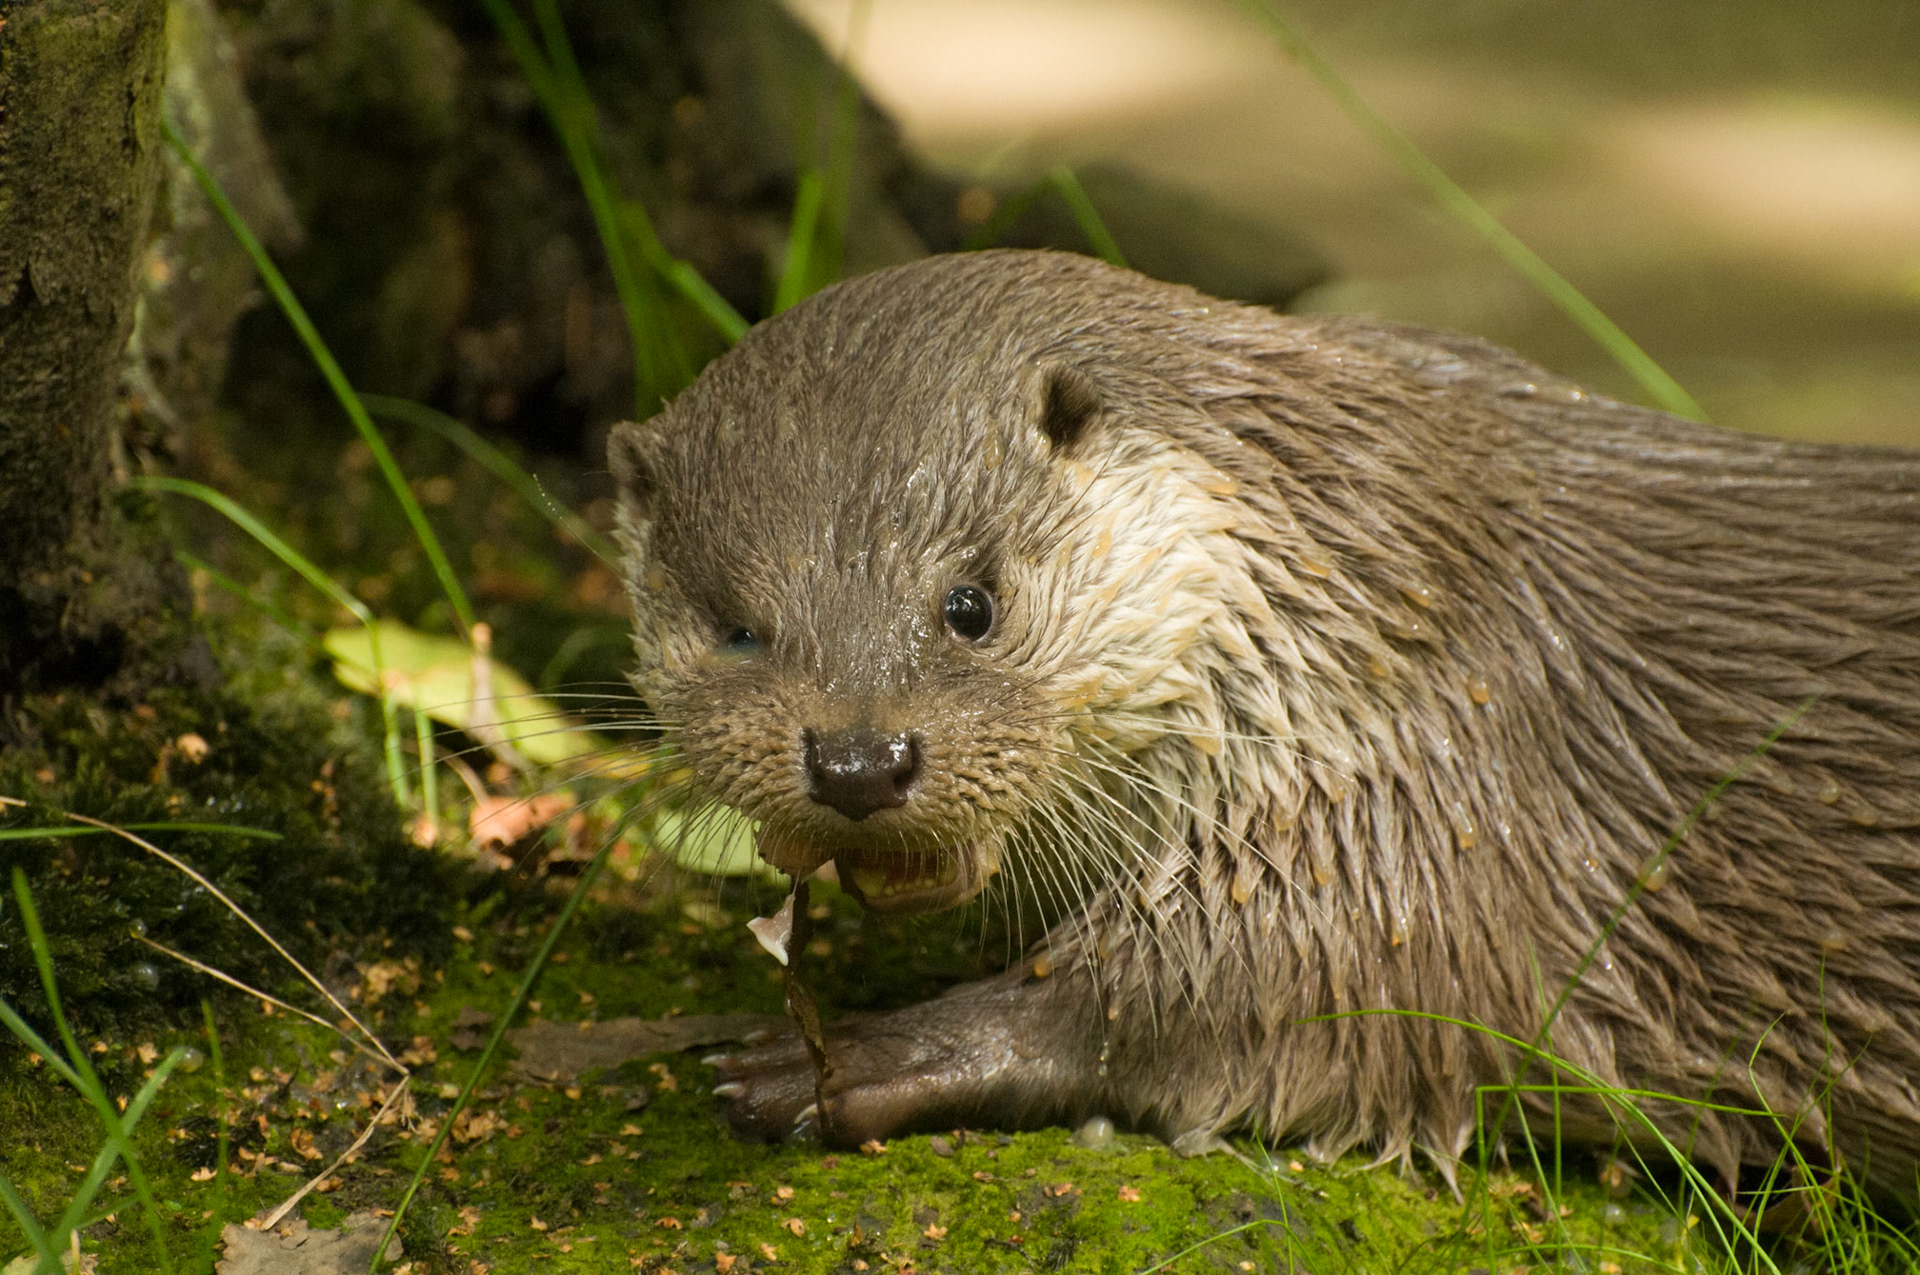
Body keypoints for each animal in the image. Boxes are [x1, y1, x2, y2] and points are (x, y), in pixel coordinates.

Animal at [609, 250, 1920, 1191]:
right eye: (734, 627)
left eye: (970, 603)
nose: (859, 761)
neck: (1353, 573)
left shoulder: (1426, 765)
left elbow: (1292, 991)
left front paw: (873, 1050)